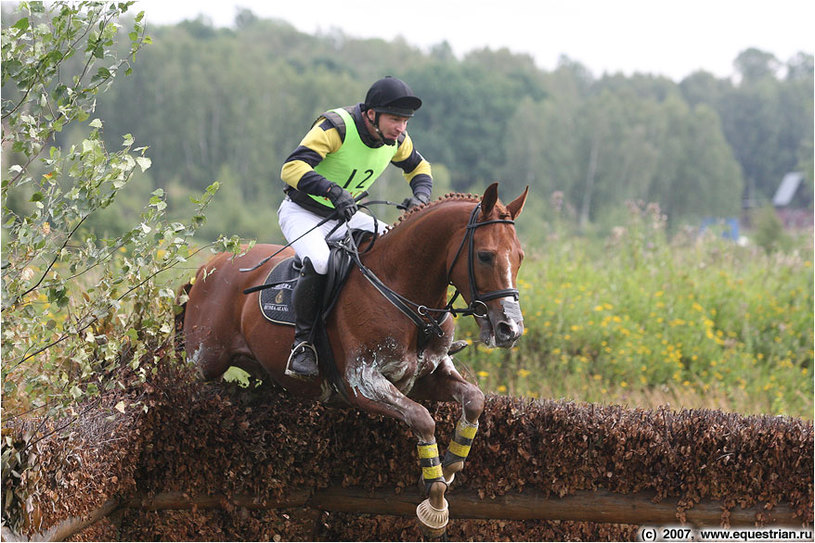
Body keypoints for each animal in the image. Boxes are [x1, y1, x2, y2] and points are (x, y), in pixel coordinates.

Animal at [178, 184, 528, 536]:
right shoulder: (362, 382)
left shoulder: (425, 377)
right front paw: (435, 503)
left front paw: (451, 465)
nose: (510, 329)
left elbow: (474, 399)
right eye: (485, 256)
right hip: (202, 362)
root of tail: (212, 265)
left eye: (520, 256)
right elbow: (422, 418)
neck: (405, 292)